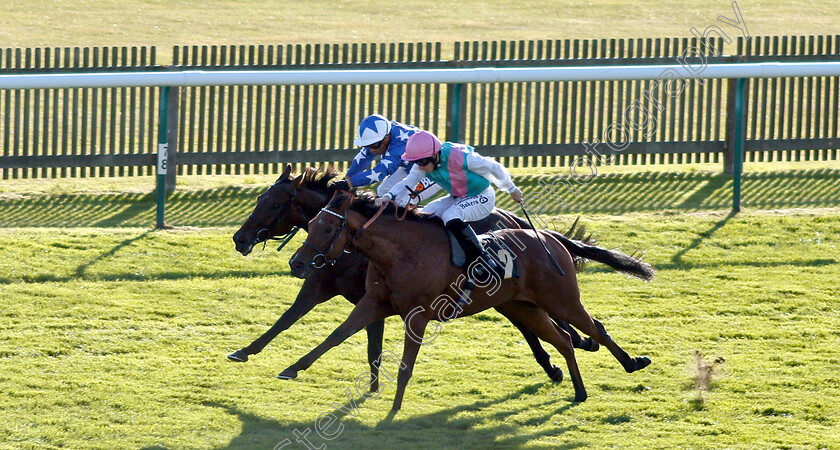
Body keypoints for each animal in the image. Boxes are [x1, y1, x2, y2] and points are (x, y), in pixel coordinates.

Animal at [230, 165, 616, 390]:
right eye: (310, 224)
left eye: (273, 203)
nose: (239, 239)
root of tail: (514, 219)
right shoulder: (327, 287)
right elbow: (288, 319)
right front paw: (245, 351)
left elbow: (363, 340)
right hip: (510, 298)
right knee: (539, 323)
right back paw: (570, 354)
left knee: (549, 323)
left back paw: (577, 349)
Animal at [290, 191, 656, 412]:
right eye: (311, 223)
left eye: (326, 229)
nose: (297, 262)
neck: (402, 252)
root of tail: (549, 237)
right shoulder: (374, 302)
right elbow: (335, 336)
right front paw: (292, 369)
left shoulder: (417, 316)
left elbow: (406, 365)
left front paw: (394, 408)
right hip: (524, 307)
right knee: (564, 339)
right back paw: (580, 391)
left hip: (561, 300)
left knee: (596, 328)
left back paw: (632, 363)